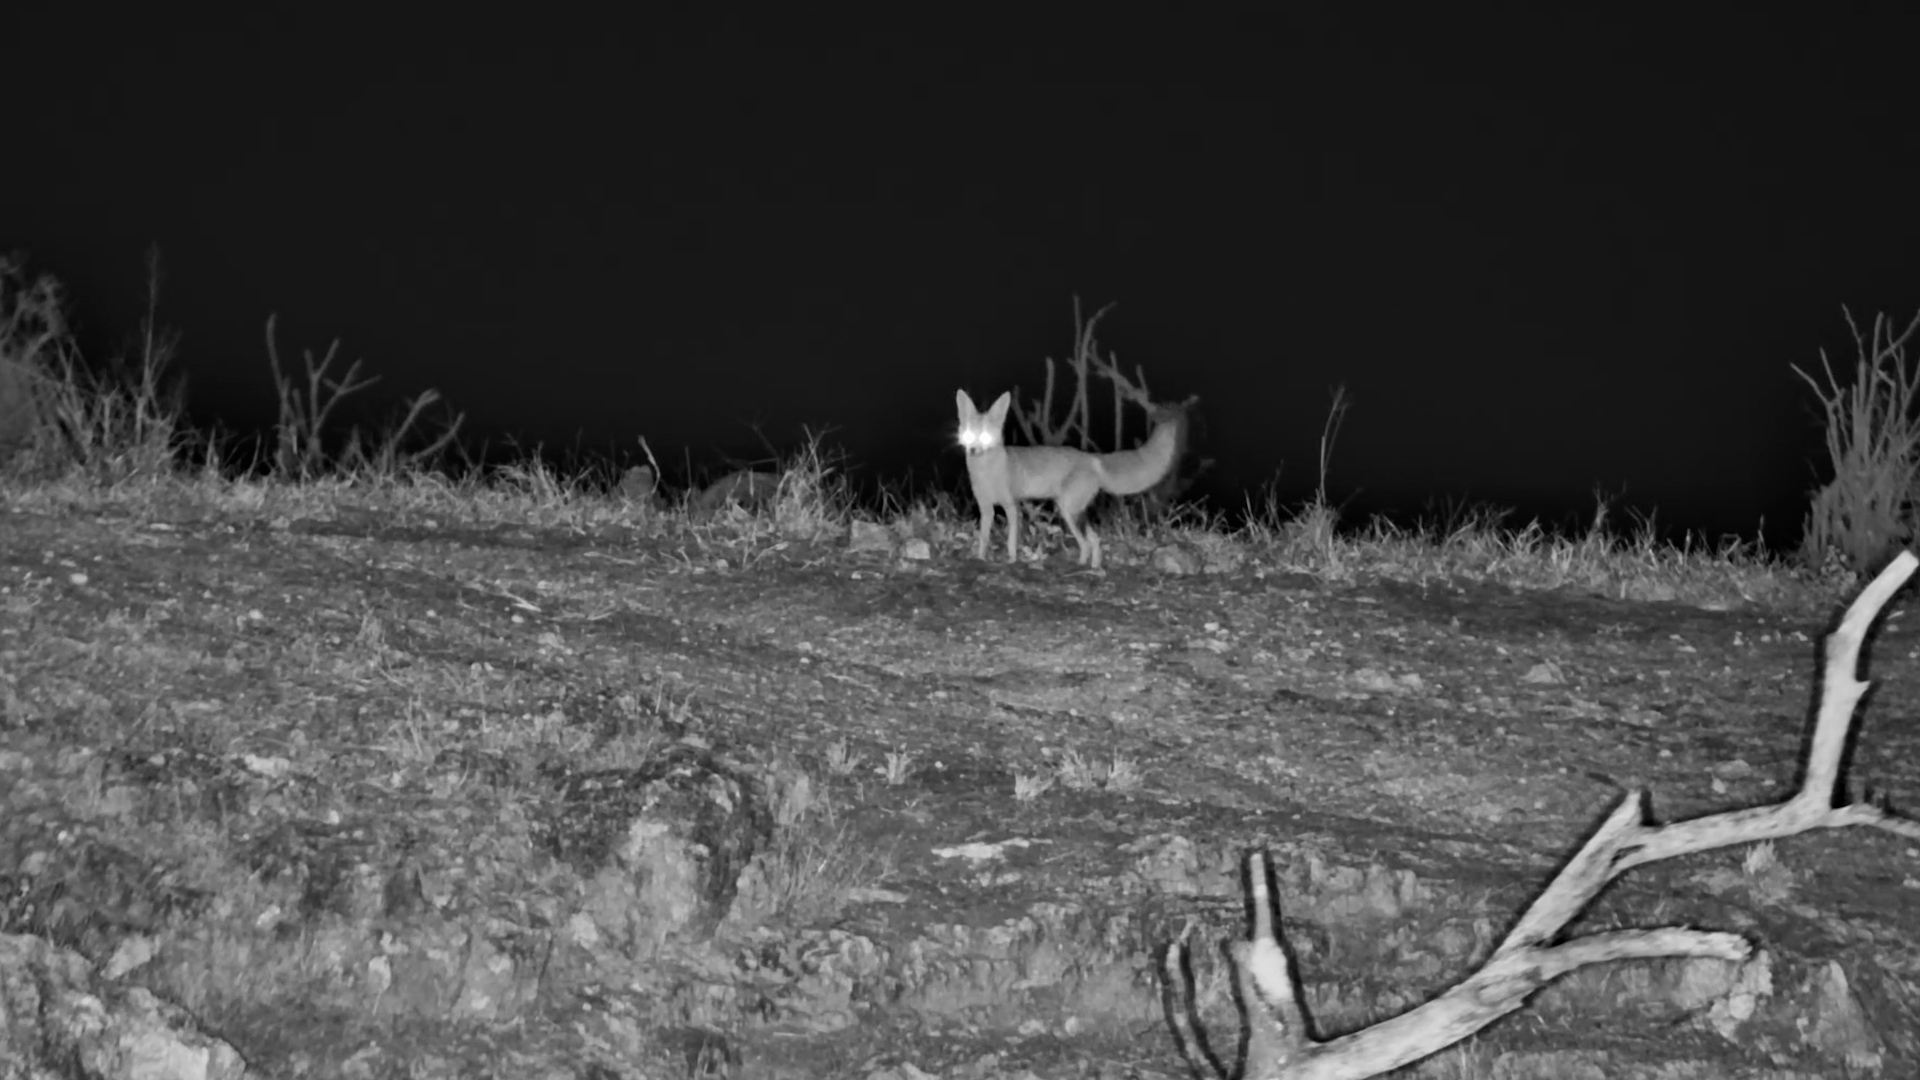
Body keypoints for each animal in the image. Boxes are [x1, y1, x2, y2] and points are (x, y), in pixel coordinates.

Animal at [955, 388, 1181, 570]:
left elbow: (1011, 540)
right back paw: (1089, 566)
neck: (986, 474)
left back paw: (1088, 568)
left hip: (1069, 511)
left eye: (985, 437)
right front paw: (980, 558)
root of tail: (1091, 457)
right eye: (968, 435)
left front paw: (1011, 560)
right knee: (1093, 541)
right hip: (1071, 512)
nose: (973, 450)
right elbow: (983, 538)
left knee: (1090, 542)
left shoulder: (1012, 505)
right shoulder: (986, 508)